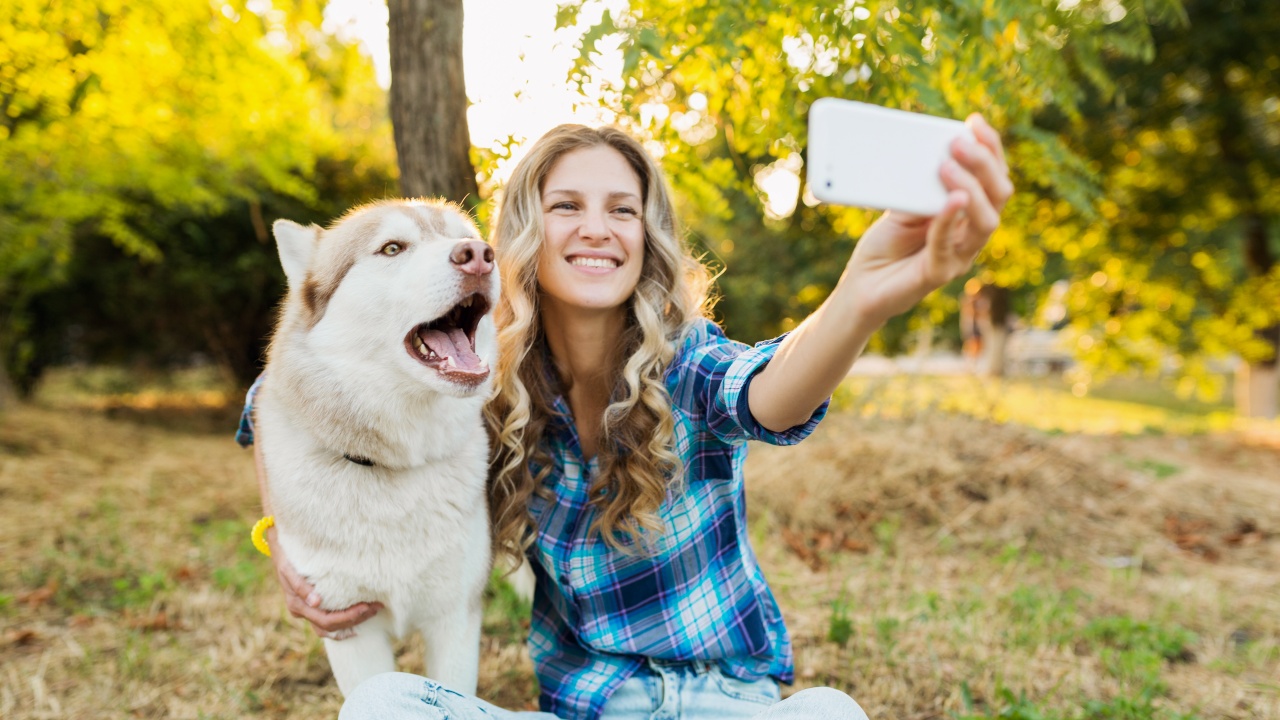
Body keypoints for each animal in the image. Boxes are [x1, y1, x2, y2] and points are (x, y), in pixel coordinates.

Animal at [256, 198, 499, 691]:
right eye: (392, 248)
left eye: (463, 237)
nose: (480, 256)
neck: (392, 466)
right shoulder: (349, 628)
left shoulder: (456, 619)